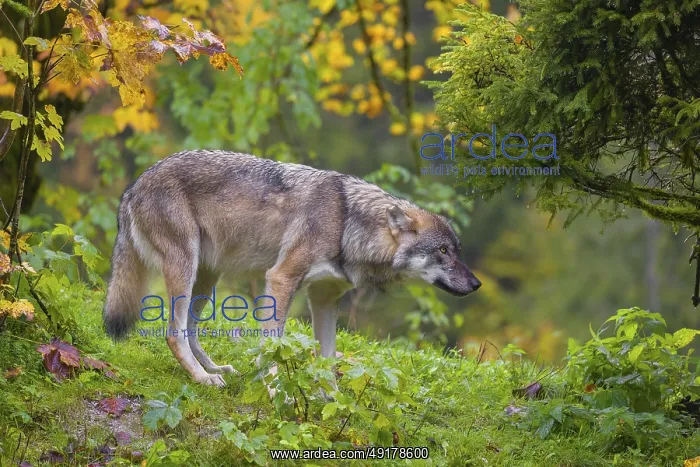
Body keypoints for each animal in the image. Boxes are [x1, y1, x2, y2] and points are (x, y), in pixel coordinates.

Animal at [103, 150, 481, 387]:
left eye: (457, 251)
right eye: (443, 251)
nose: (476, 284)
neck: (347, 223)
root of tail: (133, 186)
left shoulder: (325, 299)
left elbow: (327, 361)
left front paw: (331, 403)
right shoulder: (281, 278)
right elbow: (273, 346)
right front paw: (273, 391)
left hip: (207, 277)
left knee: (191, 329)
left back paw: (212, 368)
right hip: (186, 268)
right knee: (173, 331)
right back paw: (202, 378)